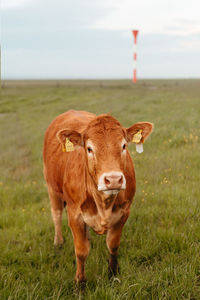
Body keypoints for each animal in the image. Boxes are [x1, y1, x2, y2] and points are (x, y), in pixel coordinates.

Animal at [43, 109, 153, 284]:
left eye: (124, 145)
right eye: (89, 148)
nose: (113, 179)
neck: (104, 204)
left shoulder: (124, 211)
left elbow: (113, 244)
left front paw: (113, 273)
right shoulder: (74, 214)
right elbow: (81, 251)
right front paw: (80, 283)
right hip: (51, 186)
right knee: (56, 214)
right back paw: (58, 243)